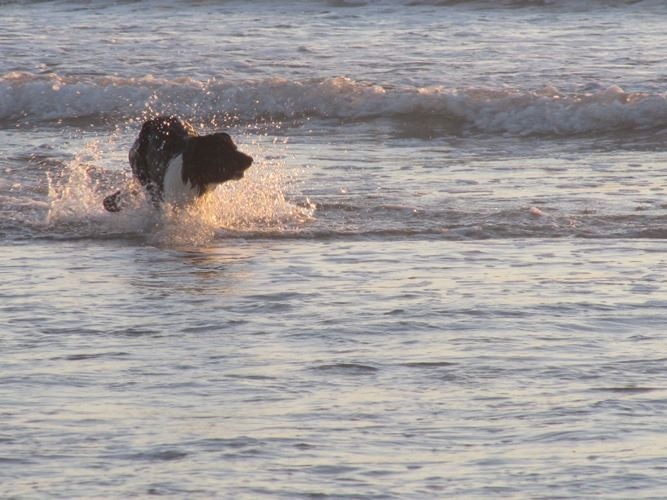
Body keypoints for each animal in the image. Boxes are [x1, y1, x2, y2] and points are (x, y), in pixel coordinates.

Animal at [103, 116, 254, 212]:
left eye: (235, 148)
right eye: (224, 152)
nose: (250, 159)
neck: (196, 180)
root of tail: (149, 123)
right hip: (142, 174)